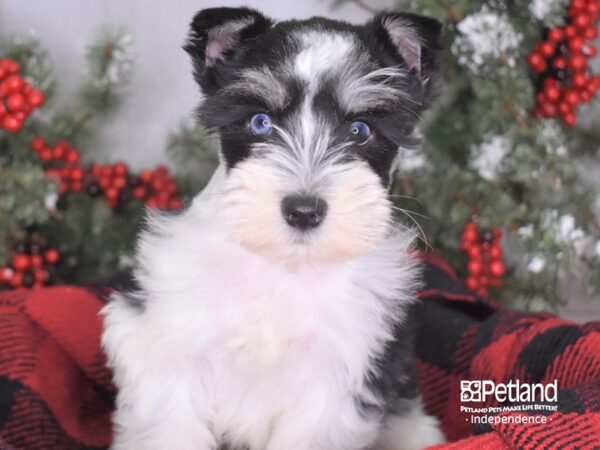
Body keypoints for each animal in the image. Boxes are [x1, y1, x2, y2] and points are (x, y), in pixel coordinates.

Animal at [101, 7, 446, 450]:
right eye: (260, 122)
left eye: (360, 130)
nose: (303, 211)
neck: (282, 264)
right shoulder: (166, 344)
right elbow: (169, 424)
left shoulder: (336, 379)